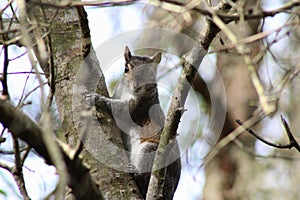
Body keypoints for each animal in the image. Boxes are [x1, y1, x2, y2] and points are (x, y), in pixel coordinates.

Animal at [86, 46, 180, 198]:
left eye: (151, 72)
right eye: (126, 68)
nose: (137, 85)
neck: (128, 92)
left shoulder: (139, 107)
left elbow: (120, 110)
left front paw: (98, 99)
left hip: (151, 152)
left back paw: (136, 174)